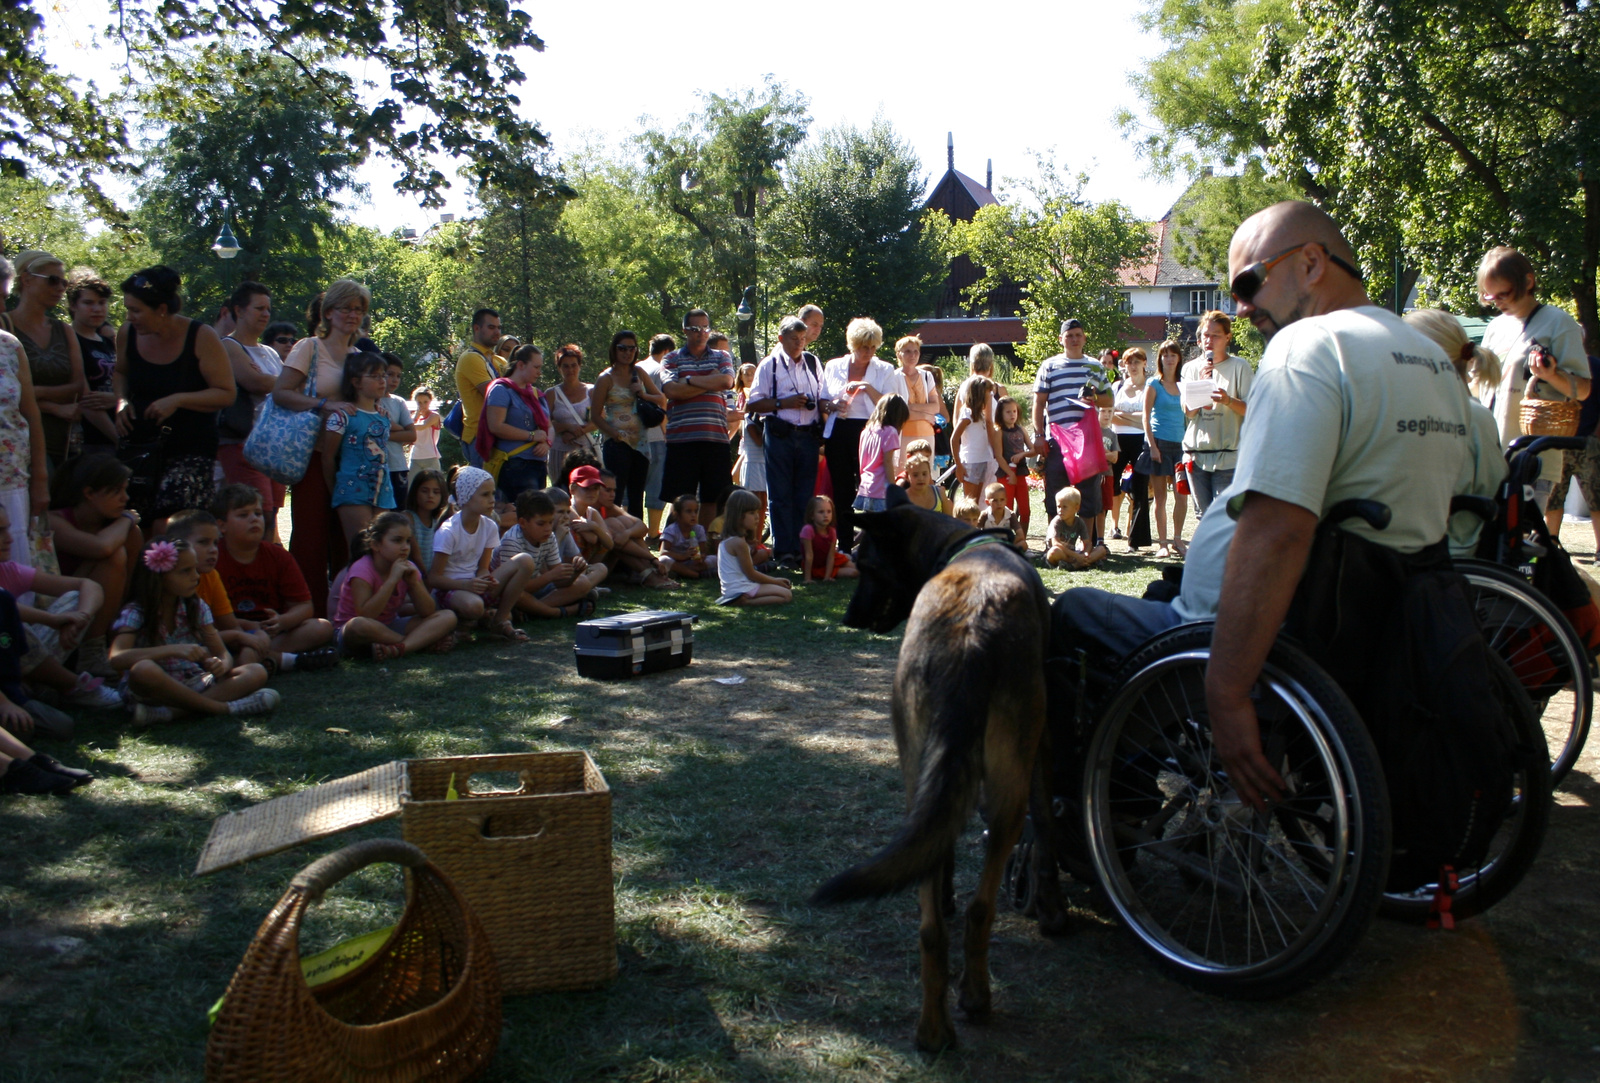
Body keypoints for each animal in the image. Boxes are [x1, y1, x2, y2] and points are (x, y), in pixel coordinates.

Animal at [812, 505, 1062, 1049]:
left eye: (866, 565)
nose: (848, 619)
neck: (963, 546)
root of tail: (972, 628)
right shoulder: (1041, 753)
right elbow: (1049, 833)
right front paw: (1054, 912)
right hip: (1008, 796)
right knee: (980, 909)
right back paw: (976, 998)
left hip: (917, 778)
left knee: (930, 925)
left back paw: (932, 1030)